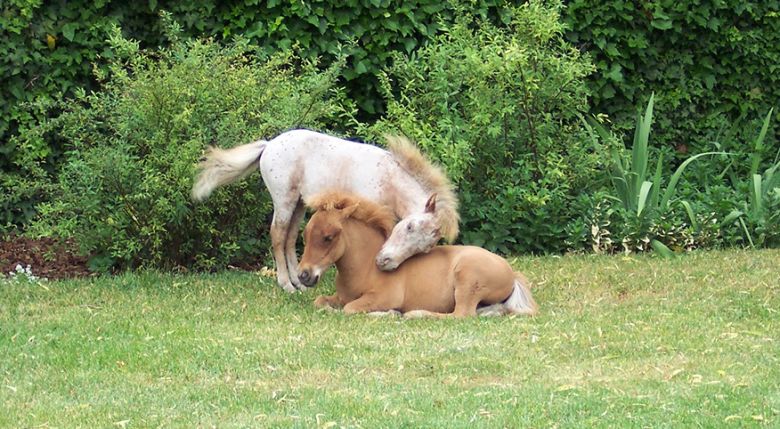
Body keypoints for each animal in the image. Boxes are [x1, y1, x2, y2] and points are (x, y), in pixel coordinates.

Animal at [191, 129, 458, 292]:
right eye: (410, 226)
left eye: (426, 248)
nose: (387, 263)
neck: (387, 179)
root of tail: (269, 145)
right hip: (284, 200)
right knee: (278, 235)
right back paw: (286, 285)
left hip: (299, 204)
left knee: (289, 238)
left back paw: (299, 282)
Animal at [296, 192, 540, 316]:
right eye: (305, 235)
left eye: (328, 237)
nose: (303, 275)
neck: (365, 268)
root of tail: (512, 273)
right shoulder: (340, 297)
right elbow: (320, 301)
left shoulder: (381, 297)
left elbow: (349, 309)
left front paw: (390, 313)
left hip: (467, 279)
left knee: (461, 314)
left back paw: (414, 314)